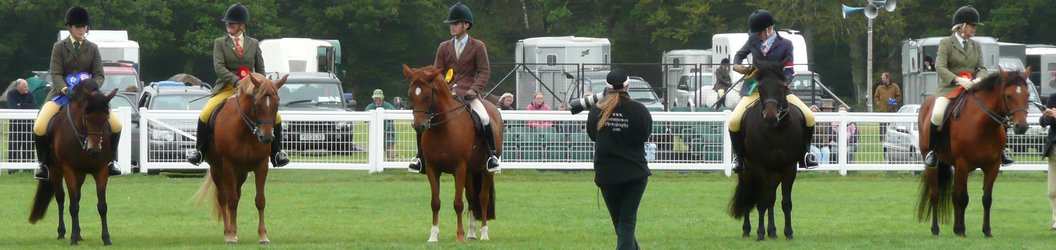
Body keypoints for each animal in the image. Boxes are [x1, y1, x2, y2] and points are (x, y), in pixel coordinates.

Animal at [27, 79, 118, 244]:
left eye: (106, 118)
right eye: (87, 117)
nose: (94, 150)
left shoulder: (101, 170)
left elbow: (102, 206)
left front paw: (106, 238)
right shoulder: (69, 170)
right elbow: (73, 205)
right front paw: (73, 238)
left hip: (80, 174)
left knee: (77, 197)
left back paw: (79, 234)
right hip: (55, 171)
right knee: (61, 199)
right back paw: (62, 232)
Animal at [194, 72, 289, 243]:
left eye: (277, 104)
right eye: (257, 104)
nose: (266, 137)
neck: (246, 131)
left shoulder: (261, 166)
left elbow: (260, 200)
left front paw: (263, 236)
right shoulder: (229, 166)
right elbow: (230, 200)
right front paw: (231, 236)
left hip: (242, 173)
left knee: (237, 195)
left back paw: (234, 230)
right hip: (217, 170)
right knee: (223, 198)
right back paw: (228, 232)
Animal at [403, 64, 502, 243]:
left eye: (427, 96)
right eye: (411, 95)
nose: (419, 126)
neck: (442, 129)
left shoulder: (459, 168)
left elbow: (458, 203)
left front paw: (460, 236)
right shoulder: (432, 169)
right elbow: (435, 202)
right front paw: (433, 236)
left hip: (485, 170)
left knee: (482, 198)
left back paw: (484, 234)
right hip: (470, 171)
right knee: (472, 197)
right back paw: (472, 233)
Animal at [730, 60, 802, 240]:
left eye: (782, 87)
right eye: (760, 88)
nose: (770, 117)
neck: (777, 131)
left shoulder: (789, 168)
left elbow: (785, 202)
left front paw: (788, 233)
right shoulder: (760, 167)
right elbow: (762, 201)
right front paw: (760, 233)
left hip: (774, 174)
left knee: (771, 198)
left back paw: (773, 231)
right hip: (747, 172)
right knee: (751, 195)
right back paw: (748, 230)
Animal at [916, 68, 1030, 236]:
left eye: (1027, 95)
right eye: (1008, 96)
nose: (1021, 126)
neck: (983, 125)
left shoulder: (993, 166)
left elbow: (986, 199)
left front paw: (986, 231)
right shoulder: (963, 164)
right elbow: (963, 198)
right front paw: (962, 231)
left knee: (953, 195)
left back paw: (954, 229)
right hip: (932, 165)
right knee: (935, 194)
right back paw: (936, 229)